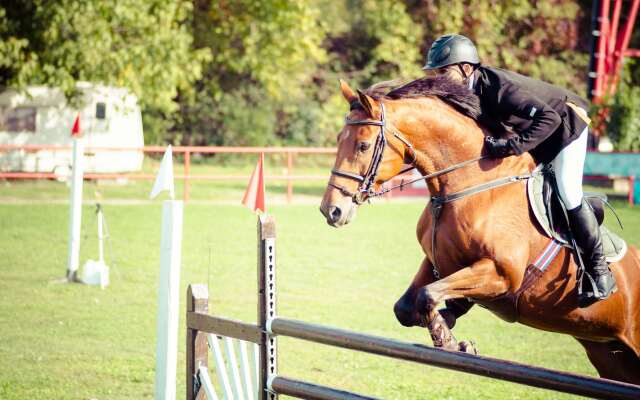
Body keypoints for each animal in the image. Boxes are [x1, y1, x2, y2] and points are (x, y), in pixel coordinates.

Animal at [318, 76, 640, 384]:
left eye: (363, 145)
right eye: (339, 139)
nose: (331, 210)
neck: (469, 184)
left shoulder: (500, 273)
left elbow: (428, 295)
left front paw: (449, 340)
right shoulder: (438, 261)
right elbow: (407, 307)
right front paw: (450, 327)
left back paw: (599, 281)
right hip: (608, 353)